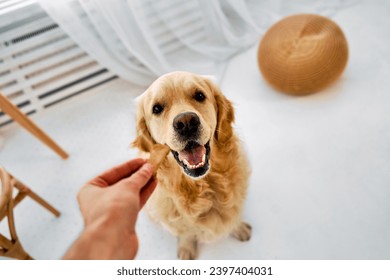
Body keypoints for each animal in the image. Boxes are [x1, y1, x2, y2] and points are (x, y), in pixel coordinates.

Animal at [133, 71, 251, 260]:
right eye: (157, 109)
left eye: (199, 95)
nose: (186, 122)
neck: (202, 188)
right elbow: (186, 232)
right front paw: (186, 248)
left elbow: (233, 215)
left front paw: (238, 228)